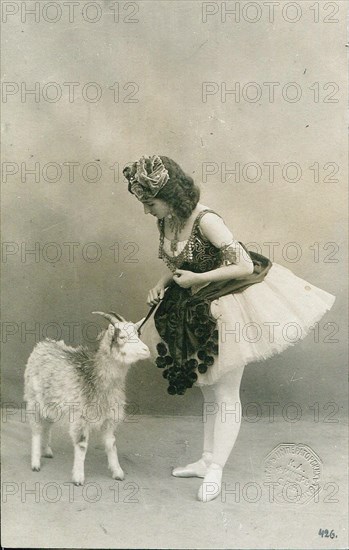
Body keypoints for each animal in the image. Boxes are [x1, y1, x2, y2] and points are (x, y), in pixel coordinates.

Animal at [24, 314, 150, 488]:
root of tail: (43, 344)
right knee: (37, 429)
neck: (94, 376)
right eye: (122, 337)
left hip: (51, 401)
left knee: (48, 424)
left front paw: (117, 472)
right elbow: (82, 445)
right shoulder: (80, 417)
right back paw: (35, 462)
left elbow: (111, 444)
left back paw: (47, 450)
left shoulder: (109, 418)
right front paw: (78, 477)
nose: (147, 350)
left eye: (137, 335)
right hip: (34, 400)